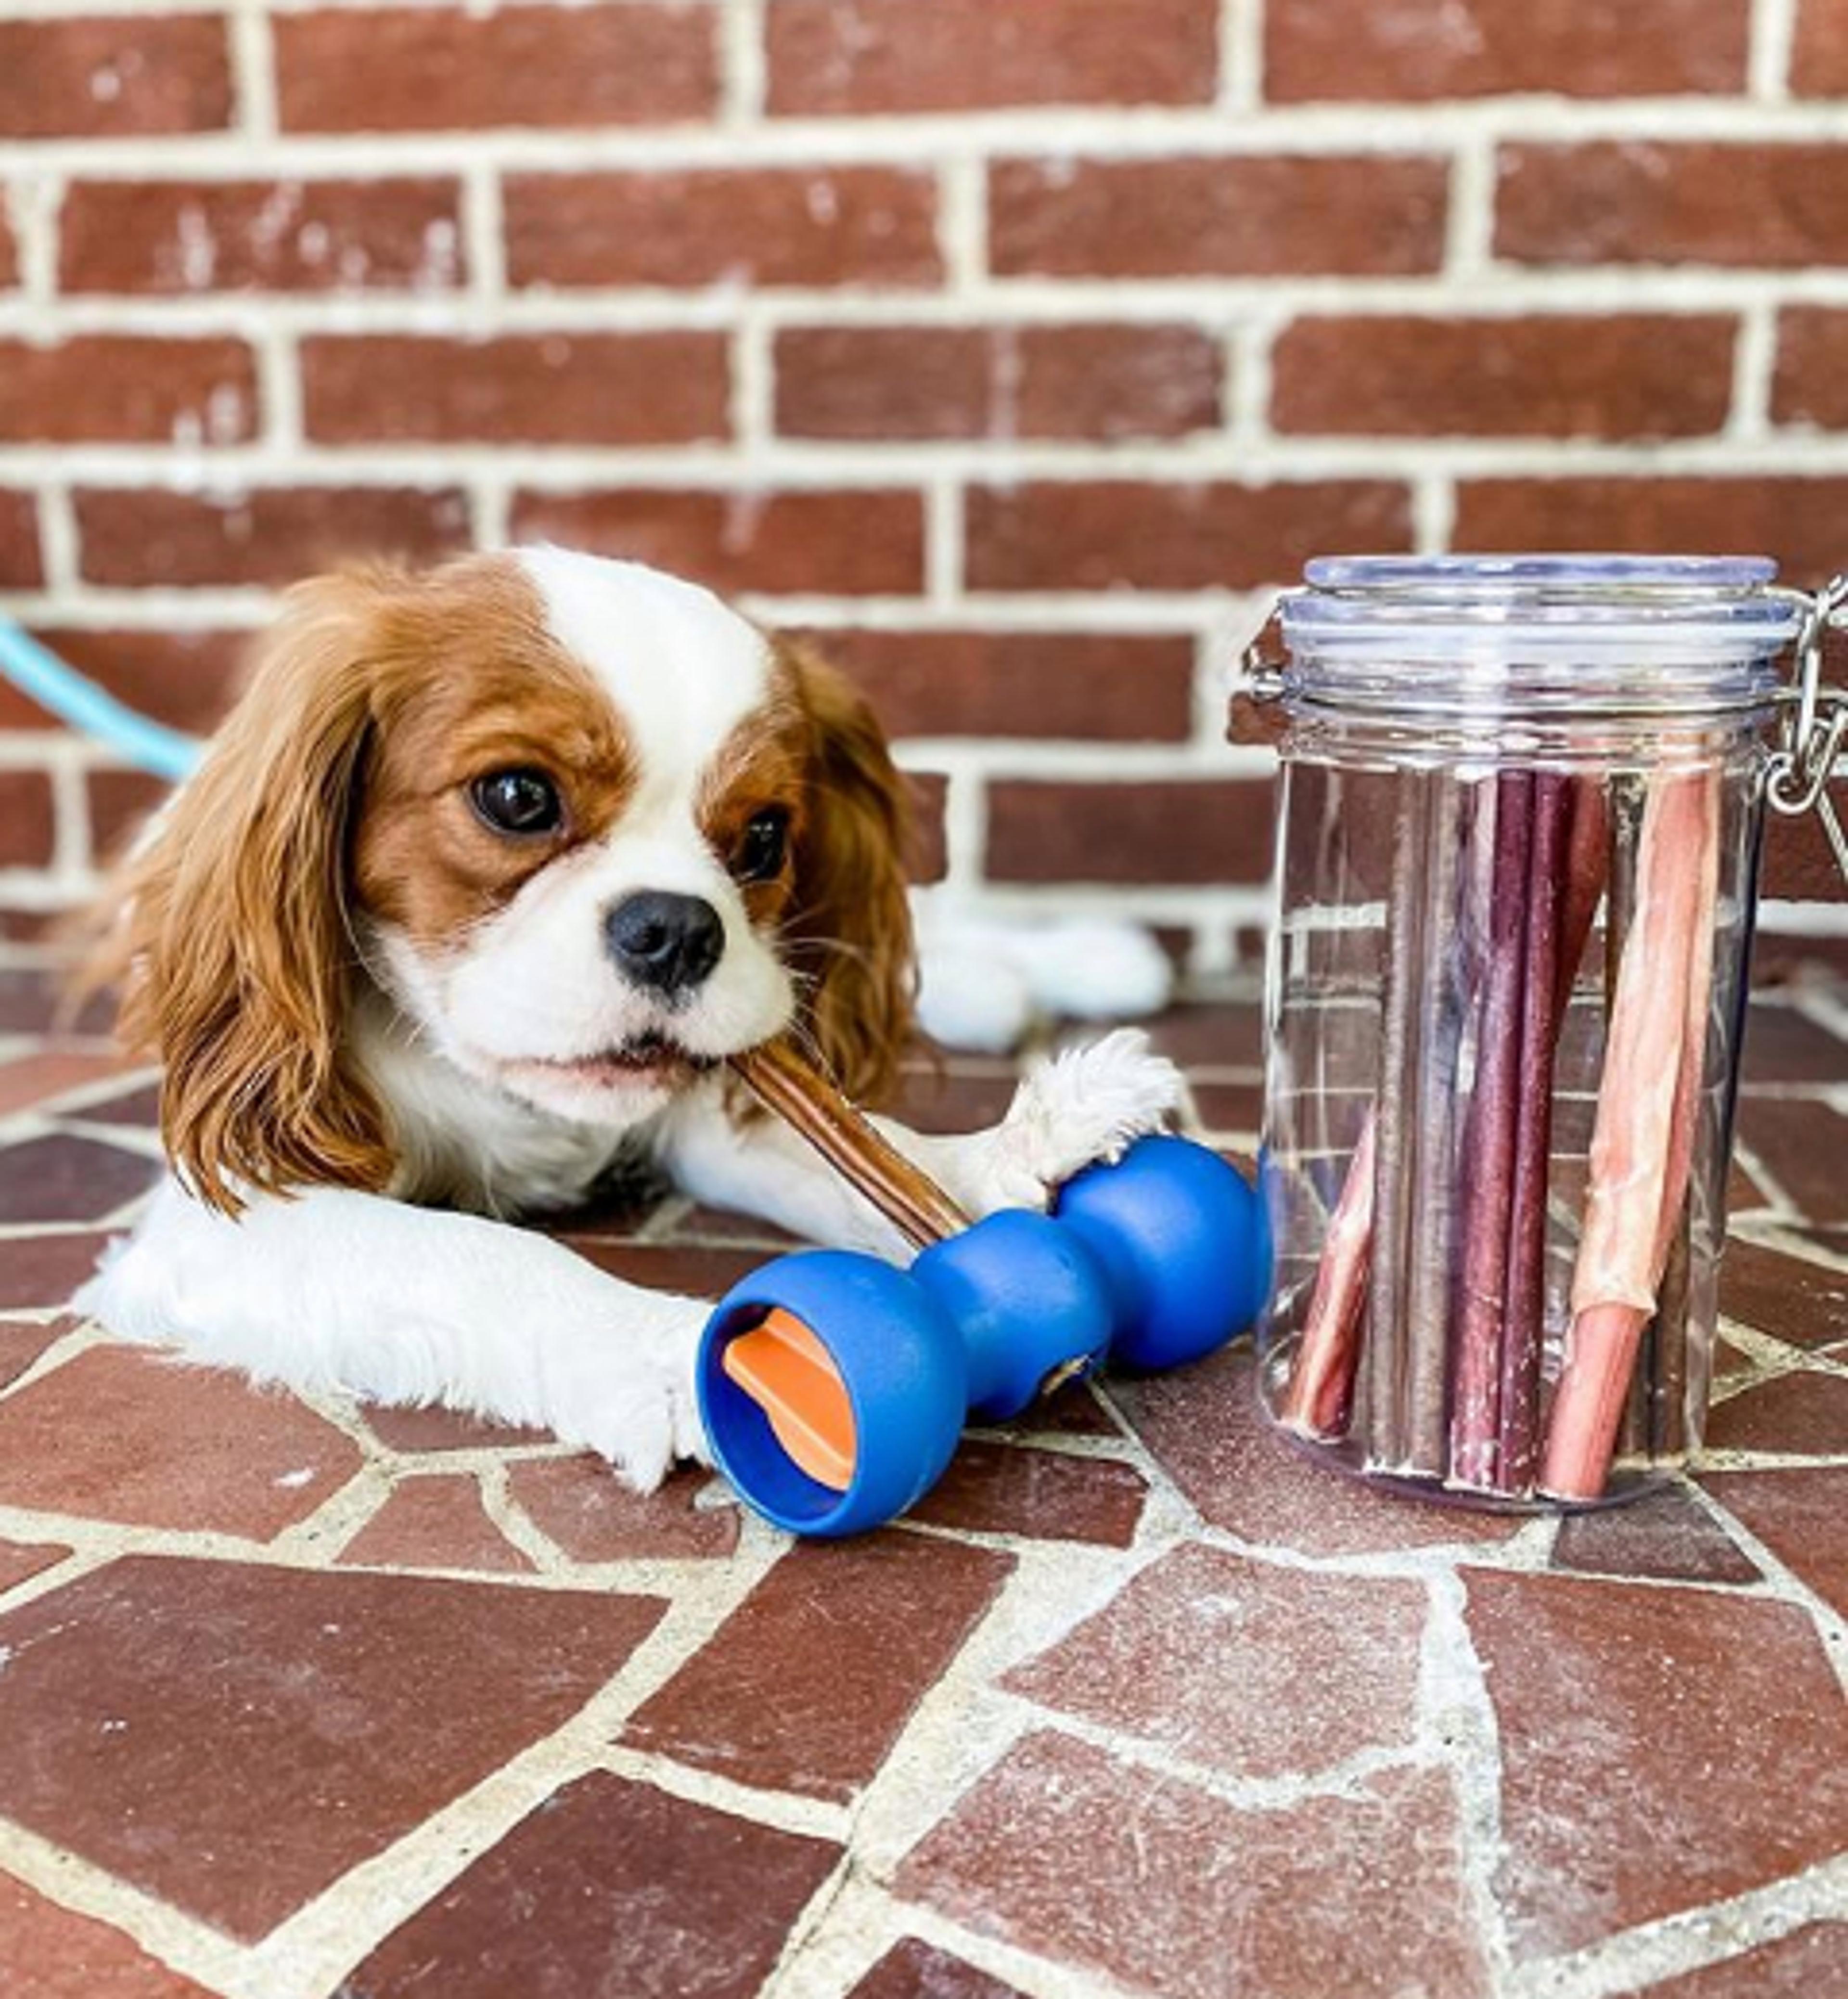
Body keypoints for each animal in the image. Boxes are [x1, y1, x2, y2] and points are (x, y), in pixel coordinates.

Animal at [76, 547, 1182, 1487]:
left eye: (764, 837)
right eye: (517, 797)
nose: (679, 929)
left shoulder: (707, 1101)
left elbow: (869, 1146)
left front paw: (1013, 1153)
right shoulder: (229, 1212)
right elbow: (487, 1256)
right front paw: (678, 1352)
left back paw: (1074, 964)